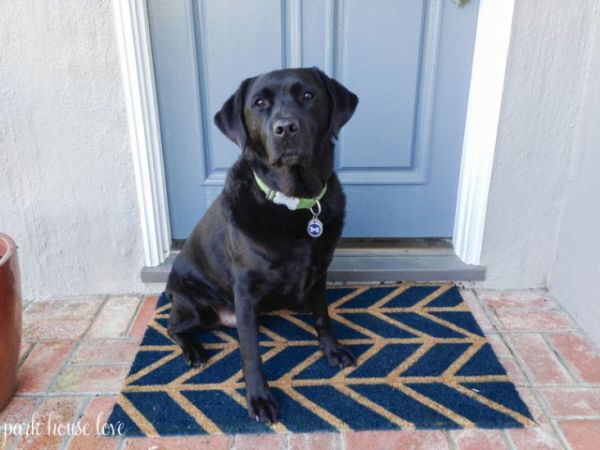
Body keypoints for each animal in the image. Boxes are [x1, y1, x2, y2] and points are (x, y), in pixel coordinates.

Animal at [165, 67, 358, 424]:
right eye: (259, 103)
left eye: (308, 95)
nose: (285, 128)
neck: (295, 203)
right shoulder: (245, 289)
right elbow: (250, 351)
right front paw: (259, 398)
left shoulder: (320, 271)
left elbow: (323, 316)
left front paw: (332, 349)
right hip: (195, 302)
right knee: (173, 327)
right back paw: (194, 350)